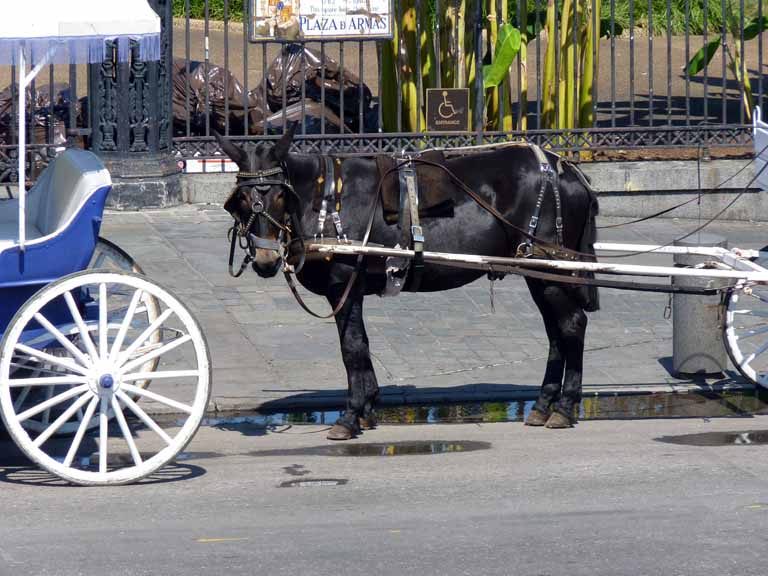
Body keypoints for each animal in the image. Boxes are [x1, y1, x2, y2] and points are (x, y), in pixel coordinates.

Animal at [216, 127, 600, 440]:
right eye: (241, 200)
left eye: (280, 196)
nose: (265, 260)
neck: (325, 198)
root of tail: (569, 170)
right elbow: (361, 344)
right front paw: (368, 408)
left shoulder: (344, 285)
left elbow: (351, 347)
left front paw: (351, 415)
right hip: (538, 271)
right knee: (555, 333)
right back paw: (543, 404)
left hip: (550, 268)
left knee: (572, 325)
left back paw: (565, 407)